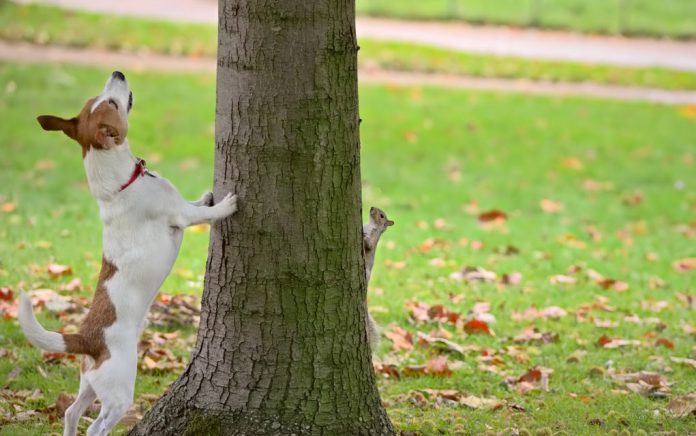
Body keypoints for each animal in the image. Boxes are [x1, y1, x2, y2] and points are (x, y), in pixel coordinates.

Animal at [17, 71, 239, 436]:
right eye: (111, 102)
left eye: (100, 97)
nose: (117, 73)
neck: (121, 184)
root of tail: (85, 338)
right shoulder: (180, 216)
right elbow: (203, 214)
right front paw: (225, 204)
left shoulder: (179, 206)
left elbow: (195, 202)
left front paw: (207, 195)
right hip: (119, 391)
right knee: (95, 427)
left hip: (90, 383)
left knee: (71, 412)